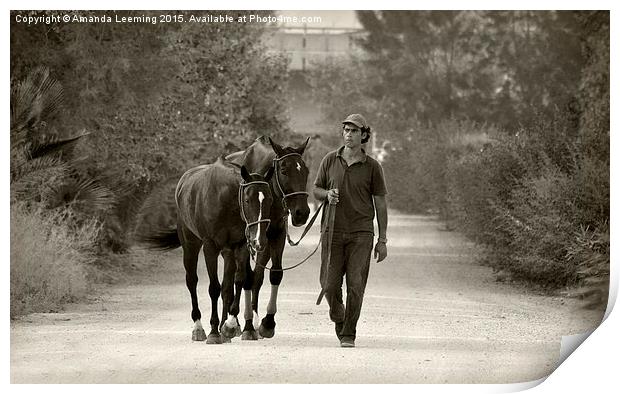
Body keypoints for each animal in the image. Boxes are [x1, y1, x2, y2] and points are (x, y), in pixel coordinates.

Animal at [225, 135, 310, 338]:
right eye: (284, 170)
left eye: (306, 171)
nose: (302, 213)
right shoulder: (245, 239)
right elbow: (242, 276)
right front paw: (235, 321)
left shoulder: (276, 235)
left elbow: (274, 274)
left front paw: (267, 322)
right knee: (235, 275)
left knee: (257, 275)